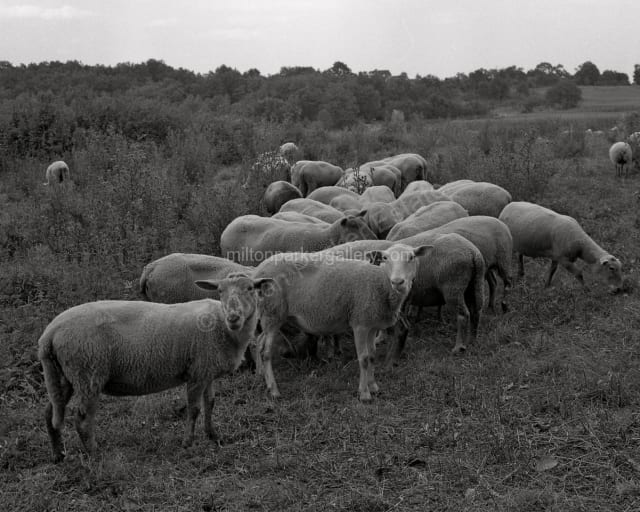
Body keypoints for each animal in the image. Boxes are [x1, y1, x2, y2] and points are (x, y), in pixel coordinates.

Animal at [38, 273, 272, 462]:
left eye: (250, 288)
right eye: (220, 291)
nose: (233, 317)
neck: (223, 327)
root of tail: (49, 333)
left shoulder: (207, 371)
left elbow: (210, 404)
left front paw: (213, 436)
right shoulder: (197, 372)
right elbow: (194, 409)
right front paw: (188, 443)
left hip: (64, 375)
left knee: (50, 412)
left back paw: (58, 454)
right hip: (88, 373)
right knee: (82, 419)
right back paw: (95, 455)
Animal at [252, 243, 431, 401]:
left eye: (412, 257)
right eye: (385, 258)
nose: (398, 282)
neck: (381, 283)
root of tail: (258, 272)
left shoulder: (372, 323)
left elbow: (372, 356)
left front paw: (373, 386)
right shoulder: (360, 322)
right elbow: (364, 359)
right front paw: (364, 394)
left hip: (270, 315)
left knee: (259, 342)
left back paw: (260, 375)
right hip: (273, 311)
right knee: (266, 352)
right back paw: (274, 390)